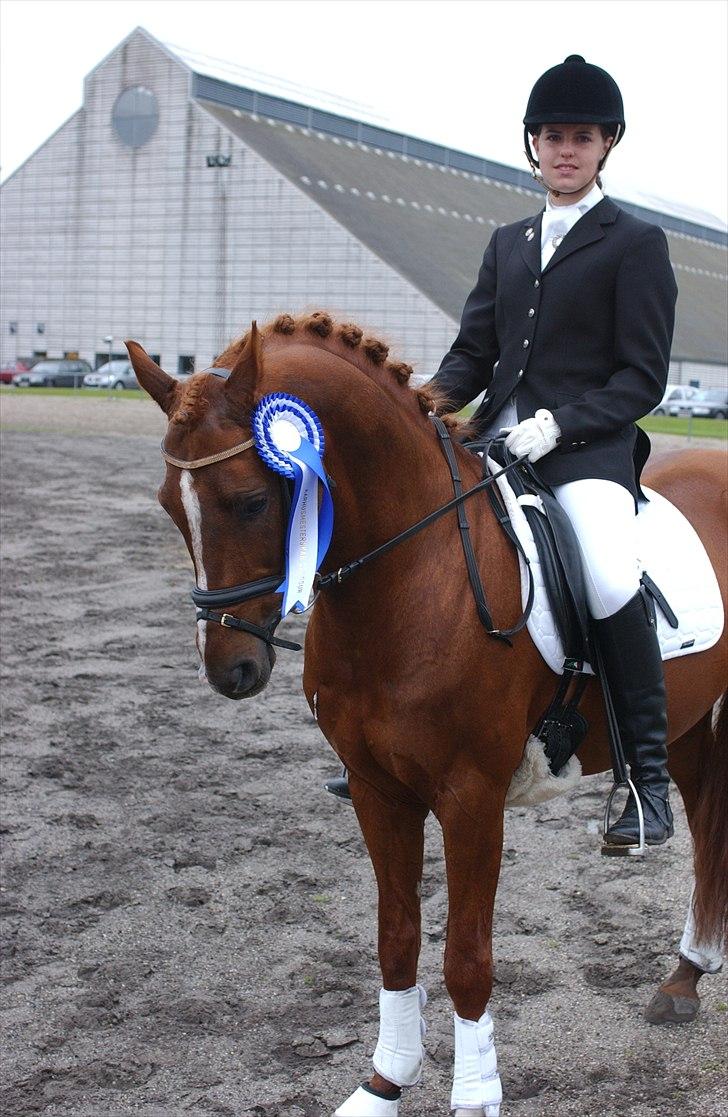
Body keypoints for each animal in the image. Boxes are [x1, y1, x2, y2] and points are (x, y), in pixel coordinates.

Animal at [127, 311, 727, 1116]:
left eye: (251, 500)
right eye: (169, 504)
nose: (230, 672)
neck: (409, 577)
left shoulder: (471, 797)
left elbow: (467, 957)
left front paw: (473, 1097)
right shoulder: (378, 790)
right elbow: (397, 939)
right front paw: (383, 1083)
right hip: (687, 715)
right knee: (705, 813)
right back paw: (685, 976)